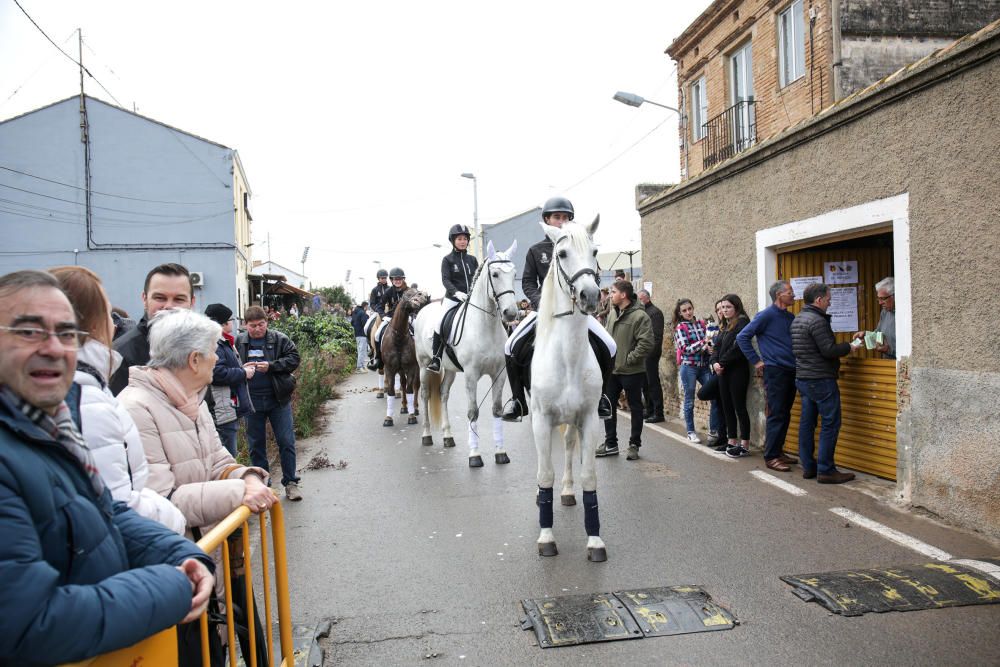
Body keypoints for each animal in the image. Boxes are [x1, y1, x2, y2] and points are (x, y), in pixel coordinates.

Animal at [380, 288, 428, 428]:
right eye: (407, 294)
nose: (424, 296)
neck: (399, 338)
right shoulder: (390, 369)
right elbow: (391, 391)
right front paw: (388, 418)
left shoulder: (411, 368)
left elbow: (411, 389)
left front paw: (412, 416)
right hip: (400, 370)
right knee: (402, 382)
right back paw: (404, 406)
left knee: (415, 386)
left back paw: (414, 408)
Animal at [414, 243, 520, 468]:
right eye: (495, 274)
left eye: (514, 274)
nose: (511, 314)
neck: (485, 326)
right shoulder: (471, 375)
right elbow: (473, 412)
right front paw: (475, 456)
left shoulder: (499, 374)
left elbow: (496, 410)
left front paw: (501, 453)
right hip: (424, 365)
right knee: (425, 395)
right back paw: (427, 436)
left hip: (451, 370)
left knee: (443, 394)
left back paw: (448, 437)